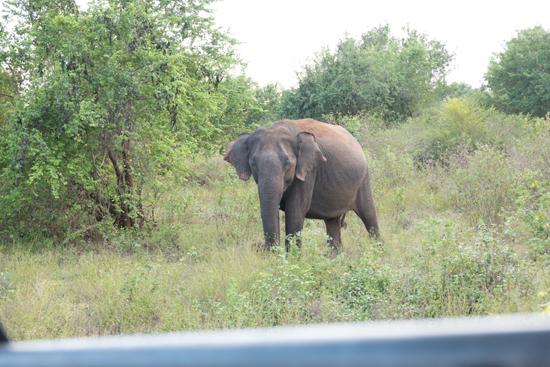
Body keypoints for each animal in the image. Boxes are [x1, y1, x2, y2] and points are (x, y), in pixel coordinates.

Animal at [224, 119, 380, 252]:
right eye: (253, 164)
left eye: (287, 163)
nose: (261, 248)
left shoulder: (308, 171)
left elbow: (295, 210)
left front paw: (292, 260)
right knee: (332, 221)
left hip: (364, 178)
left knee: (369, 215)